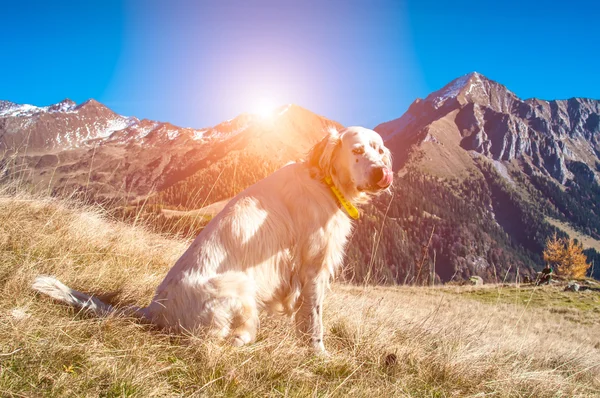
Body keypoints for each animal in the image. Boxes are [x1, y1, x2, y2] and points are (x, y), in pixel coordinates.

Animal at [35, 126, 396, 352]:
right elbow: (314, 320)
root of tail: (155, 310)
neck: (324, 180)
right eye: (357, 150)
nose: (383, 173)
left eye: (379, 150)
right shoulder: (313, 268)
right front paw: (318, 353)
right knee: (220, 340)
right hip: (240, 287)